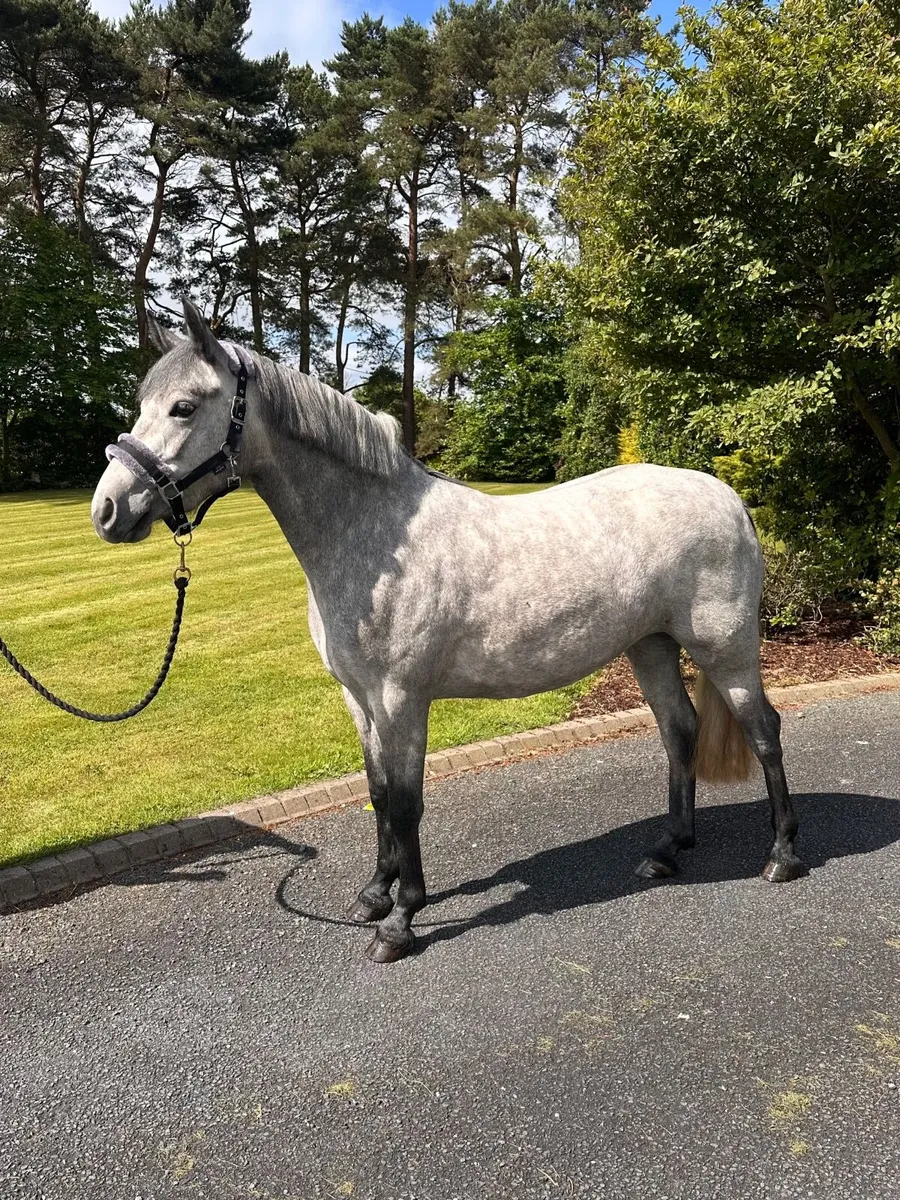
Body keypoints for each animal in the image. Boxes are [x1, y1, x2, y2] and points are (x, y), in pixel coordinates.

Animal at [91, 298, 803, 963]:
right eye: (143, 402)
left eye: (184, 407)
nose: (108, 510)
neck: (376, 537)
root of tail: (728, 497)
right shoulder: (360, 700)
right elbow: (379, 794)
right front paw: (373, 895)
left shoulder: (402, 698)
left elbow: (407, 803)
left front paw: (401, 920)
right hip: (649, 646)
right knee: (679, 731)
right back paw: (667, 852)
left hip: (725, 650)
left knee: (764, 731)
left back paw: (781, 856)